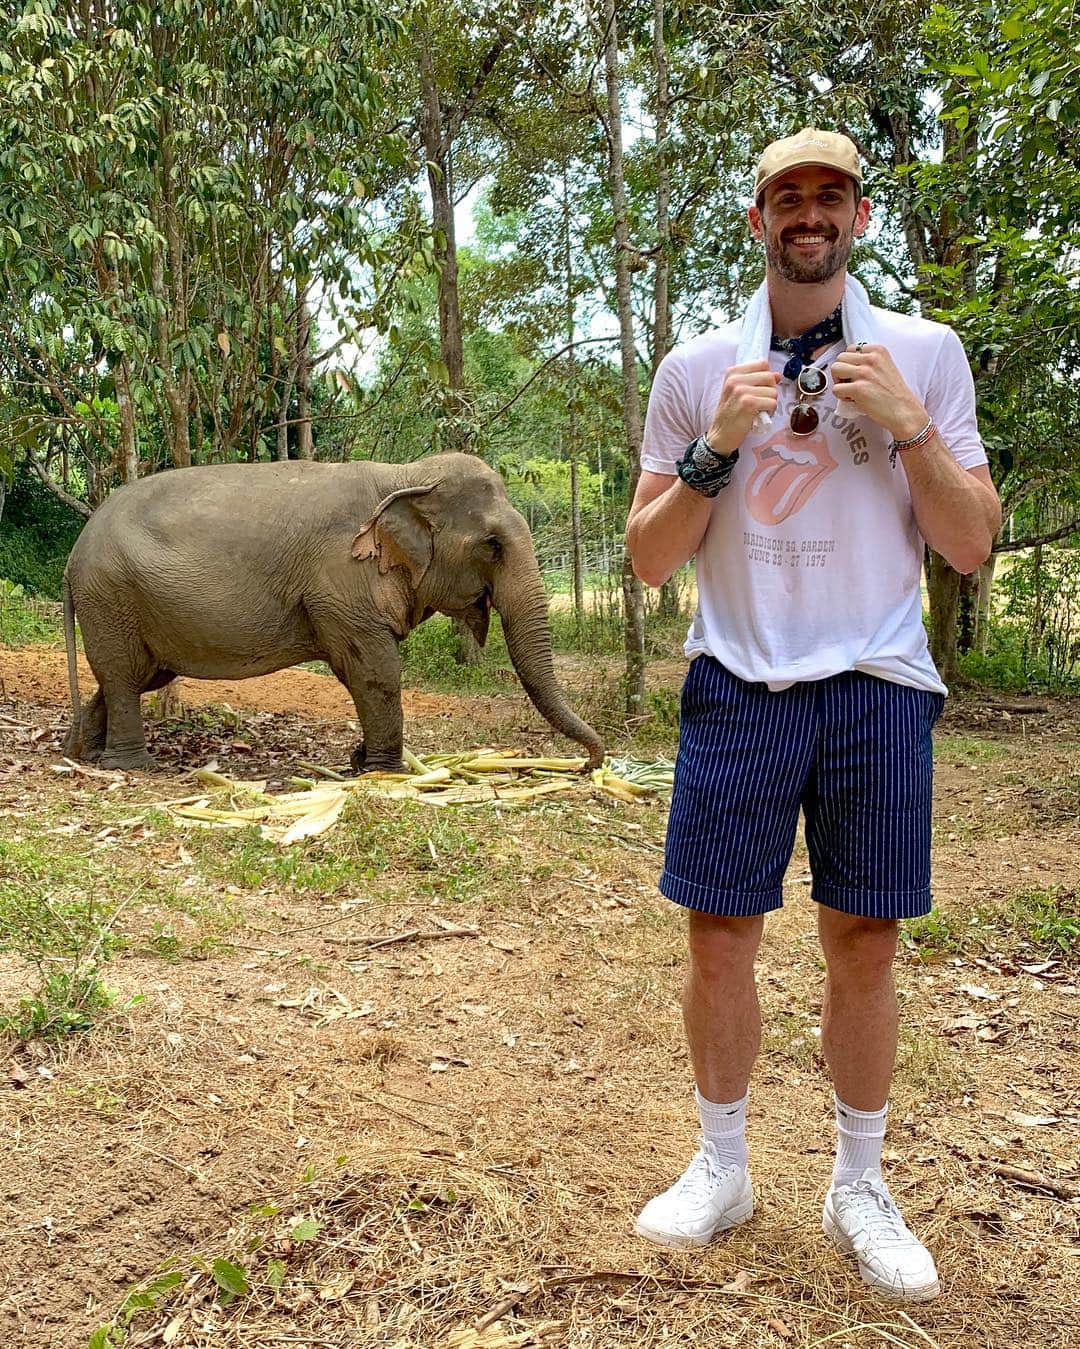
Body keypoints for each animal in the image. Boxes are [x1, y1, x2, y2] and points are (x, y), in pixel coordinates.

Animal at [61, 450, 606, 777]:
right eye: (492, 544)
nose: (588, 767)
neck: (407, 475)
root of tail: (75, 552)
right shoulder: (342, 580)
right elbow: (374, 670)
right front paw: (386, 772)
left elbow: (359, 670)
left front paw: (362, 763)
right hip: (110, 595)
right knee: (123, 675)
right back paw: (132, 766)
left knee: (131, 677)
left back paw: (81, 753)